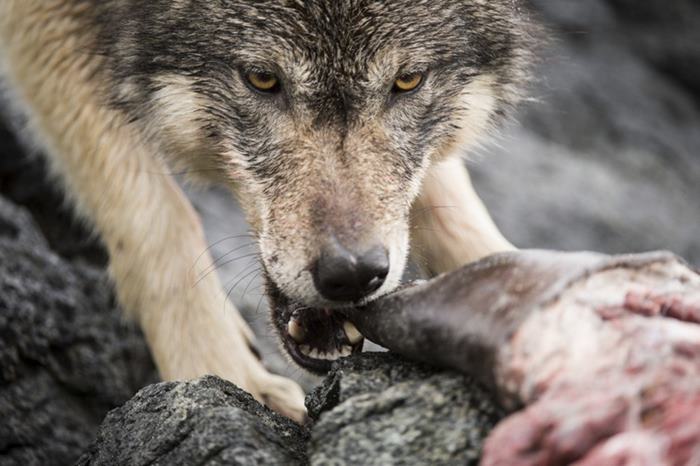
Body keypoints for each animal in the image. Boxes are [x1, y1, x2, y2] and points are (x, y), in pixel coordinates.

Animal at [1, 0, 536, 422]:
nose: (354, 273)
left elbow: (450, 199)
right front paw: (218, 371)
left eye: (407, 80)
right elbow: (155, 215)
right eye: (261, 79)